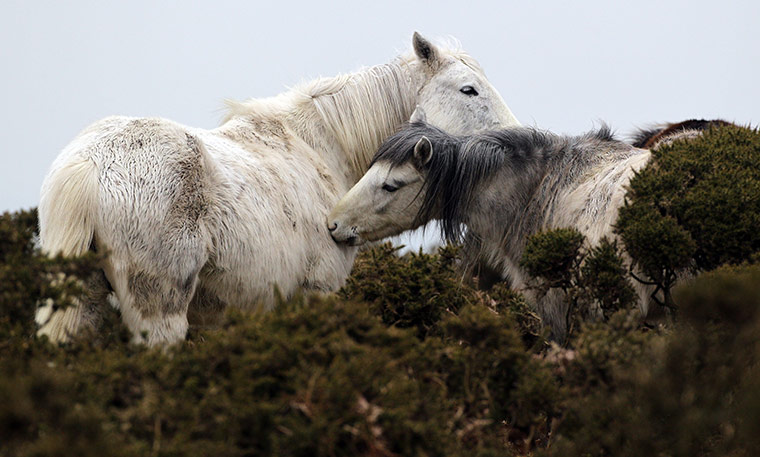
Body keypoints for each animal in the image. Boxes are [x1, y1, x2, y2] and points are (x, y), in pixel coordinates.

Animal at [36, 33, 521, 346]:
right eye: (469, 89)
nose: (514, 140)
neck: (321, 145)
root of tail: (88, 165)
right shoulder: (317, 293)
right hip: (160, 315)